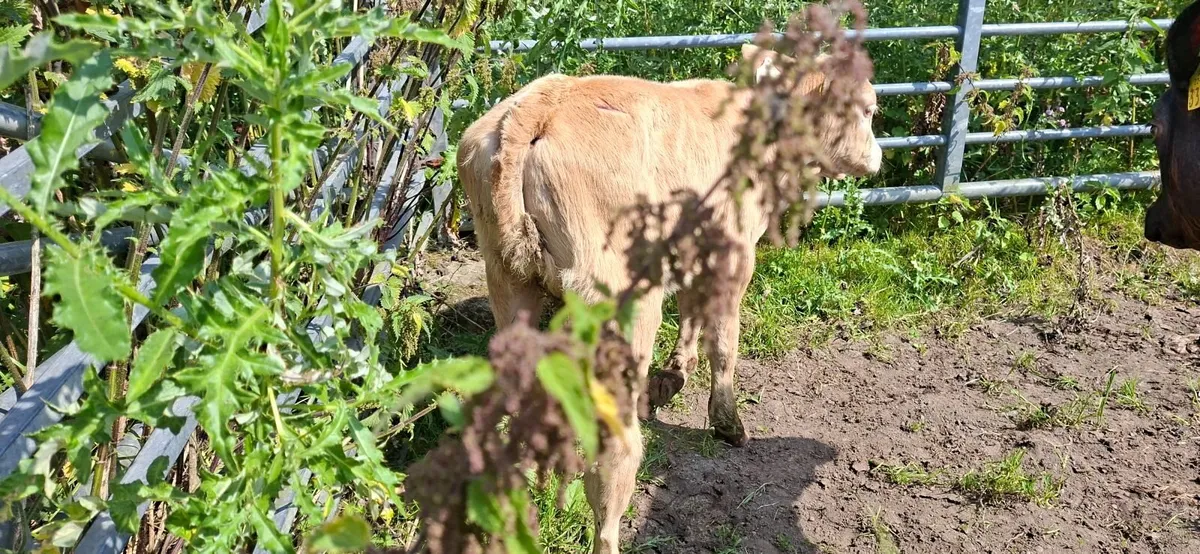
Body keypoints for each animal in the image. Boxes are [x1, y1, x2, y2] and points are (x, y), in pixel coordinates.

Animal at [456, 43, 882, 553]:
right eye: (869, 109)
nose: (878, 157)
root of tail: (540, 104)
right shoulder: (734, 254)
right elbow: (725, 341)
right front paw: (727, 422)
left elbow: (693, 314)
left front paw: (675, 372)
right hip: (621, 302)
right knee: (613, 455)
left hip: (506, 280)